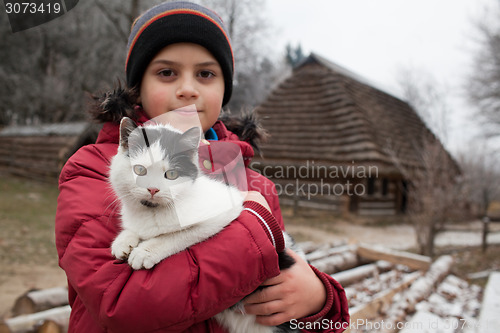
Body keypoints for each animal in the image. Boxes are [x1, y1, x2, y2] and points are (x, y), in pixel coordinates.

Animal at [109, 116, 296, 332]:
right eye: (140, 170)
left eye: (171, 174)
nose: (153, 189)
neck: (153, 210)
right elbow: (133, 228)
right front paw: (123, 241)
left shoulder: (225, 210)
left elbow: (177, 236)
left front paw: (145, 251)